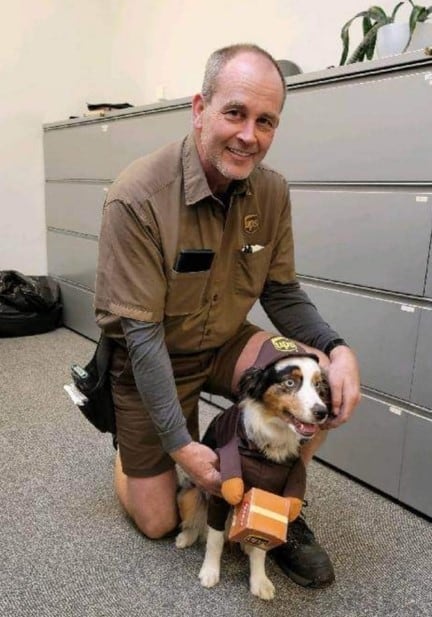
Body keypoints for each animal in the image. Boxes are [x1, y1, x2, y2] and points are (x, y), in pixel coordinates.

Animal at [176, 346, 330, 600]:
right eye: (289, 382)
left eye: (318, 386)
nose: (322, 412)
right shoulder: (220, 492)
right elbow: (215, 538)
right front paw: (210, 572)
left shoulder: (269, 497)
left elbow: (260, 547)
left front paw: (260, 581)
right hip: (189, 493)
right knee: (196, 522)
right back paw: (185, 537)